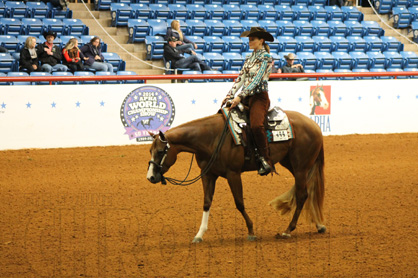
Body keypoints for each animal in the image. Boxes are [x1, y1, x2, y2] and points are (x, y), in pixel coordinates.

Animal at [147, 109, 326, 242]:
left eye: (161, 151)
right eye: (150, 150)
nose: (151, 177)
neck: (211, 137)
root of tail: (314, 125)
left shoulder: (233, 174)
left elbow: (239, 202)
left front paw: (251, 231)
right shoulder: (208, 175)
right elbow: (206, 202)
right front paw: (199, 234)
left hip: (300, 167)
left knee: (302, 195)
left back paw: (288, 230)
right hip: (292, 164)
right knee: (309, 192)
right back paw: (318, 225)